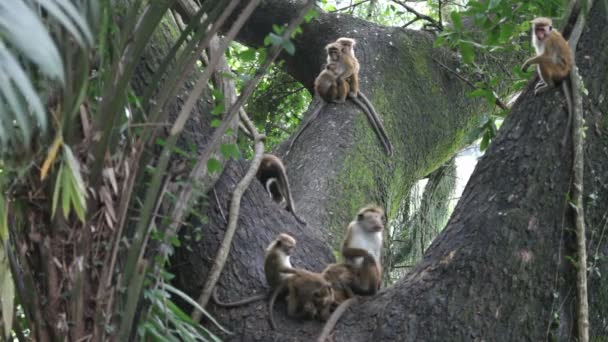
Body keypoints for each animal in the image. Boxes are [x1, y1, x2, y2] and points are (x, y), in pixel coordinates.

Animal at [520, 17, 572, 146]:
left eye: (542, 30)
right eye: (537, 29)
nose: (539, 34)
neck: (546, 35)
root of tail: (566, 72)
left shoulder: (549, 41)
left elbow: (547, 57)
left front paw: (527, 62)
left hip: (558, 71)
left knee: (543, 62)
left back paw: (549, 85)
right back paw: (544, 83)